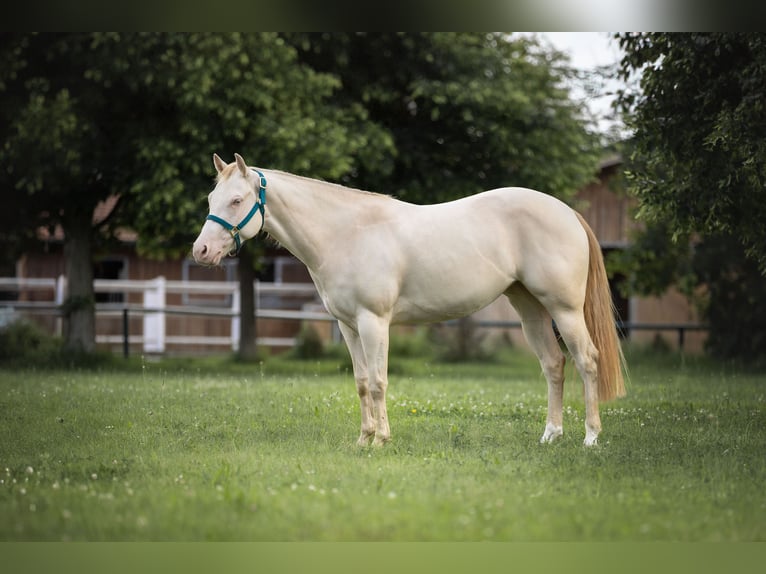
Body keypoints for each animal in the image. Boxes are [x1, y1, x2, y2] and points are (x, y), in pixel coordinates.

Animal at [190, 155, 624, 448]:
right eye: (211, 196)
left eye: (237, 200)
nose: (201, 251)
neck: (346, 233)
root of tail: (567, 212)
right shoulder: (348, 326)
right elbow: (362, 382)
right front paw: (363, 440)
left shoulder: (373, 321)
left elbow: (380, 381)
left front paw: (382, 440)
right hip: (529, 309)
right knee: (553, 364)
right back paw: (551, 435)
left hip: (564, 309)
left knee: (587, 361)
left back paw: (590, 438)